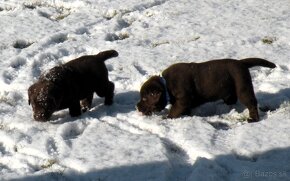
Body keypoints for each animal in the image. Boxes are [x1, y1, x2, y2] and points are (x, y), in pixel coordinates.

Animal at [137, 58, 276, 122]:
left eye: (144, 98)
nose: (137, 106)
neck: (166, 86)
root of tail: (242, 63)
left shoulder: (182, 100)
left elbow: (174, 110)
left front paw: (167, 118)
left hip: (243, 88)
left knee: (251, 103)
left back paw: (253, 119)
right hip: (230, 91)